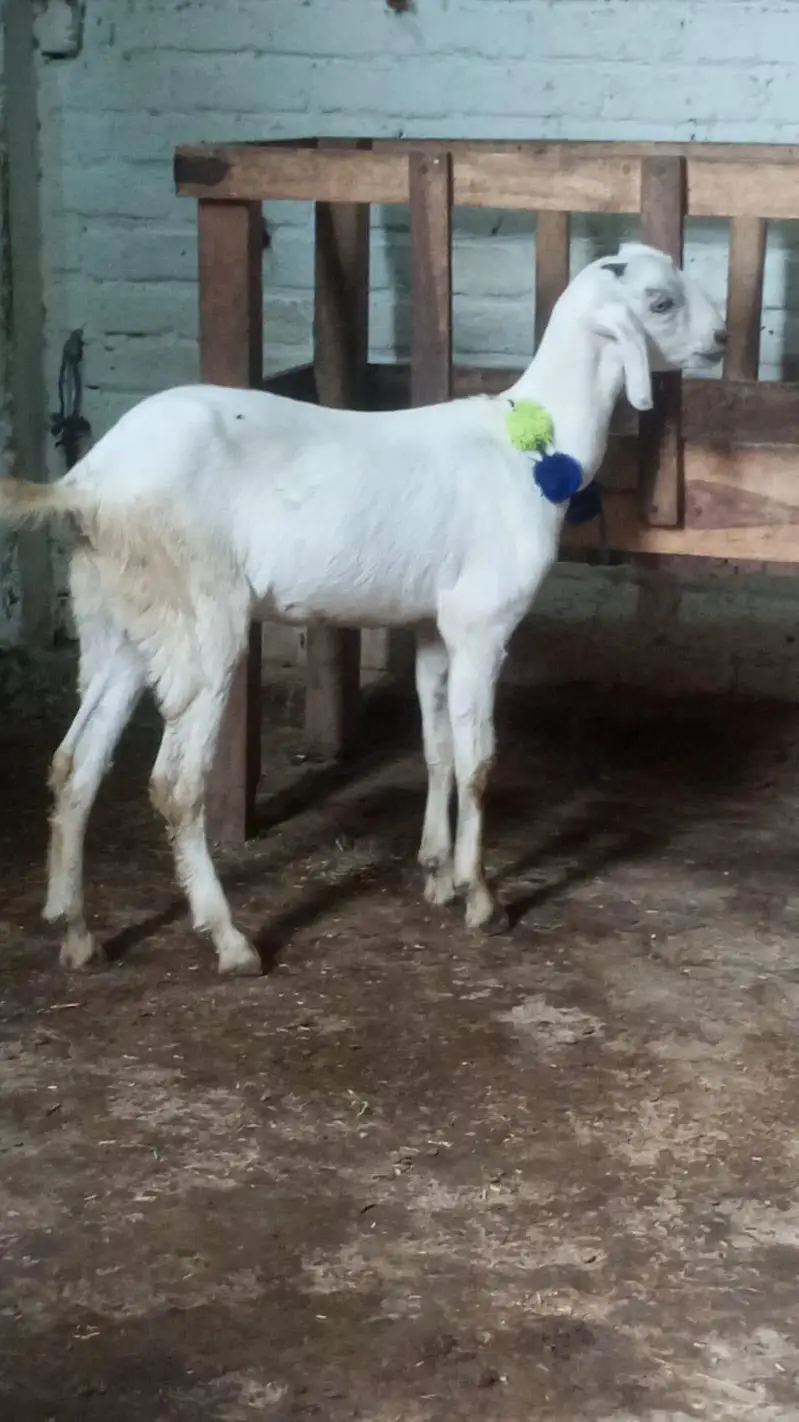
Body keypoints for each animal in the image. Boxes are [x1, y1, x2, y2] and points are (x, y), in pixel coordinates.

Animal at [0, 241, 725, 976]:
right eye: (660, 301)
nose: (721, 339)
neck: (528, 444)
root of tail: (87, 482)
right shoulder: (481, 625)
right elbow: (478, 762)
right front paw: (480, 897)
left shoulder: (432, 628)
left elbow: (437, 749)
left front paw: (435, 873)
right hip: (201, 615)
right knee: (175, 783)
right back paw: (229, 938)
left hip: (118, 615)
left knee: (75, 764)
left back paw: (76, 931)